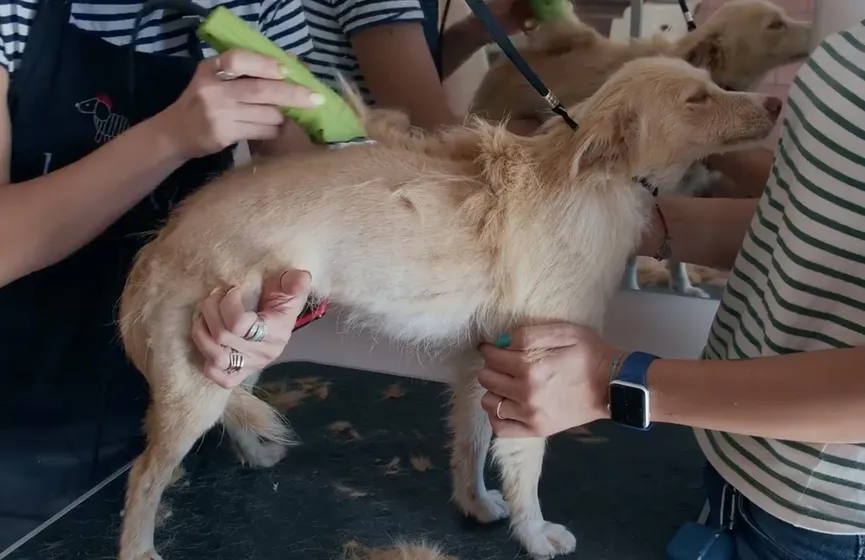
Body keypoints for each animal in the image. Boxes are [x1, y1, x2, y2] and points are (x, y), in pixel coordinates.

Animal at [113, 53, 776, 560]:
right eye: (696, 99)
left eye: (714, 83)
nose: (773, 105)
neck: (586, 185)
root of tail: (161, 241)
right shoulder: (532, 368)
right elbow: (524, 465)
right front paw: (534, 535)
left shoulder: (483, 360)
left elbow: (472, 445)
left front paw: (477, 505)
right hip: (195, 375)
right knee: (145, 475)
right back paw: (139, 548)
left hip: (243, 344)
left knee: (230, 406)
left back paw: (256, 450)